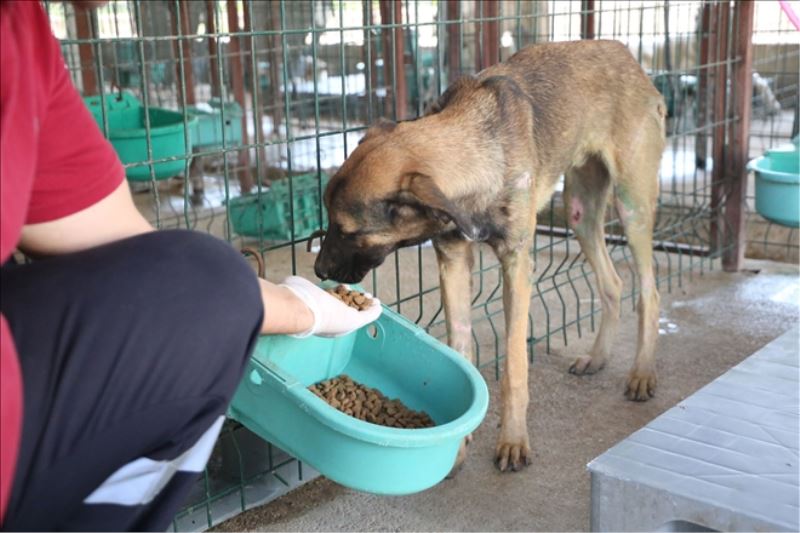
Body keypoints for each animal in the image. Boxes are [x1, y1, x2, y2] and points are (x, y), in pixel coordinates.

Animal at [316, 42, 664, 474]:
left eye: (348, 231)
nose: (318, 270)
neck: (477, 153)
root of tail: (623, 53)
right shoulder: (452, 261)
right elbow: (460, 346)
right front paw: (458, 446)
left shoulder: (517, 264)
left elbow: (514, 365)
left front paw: (513, 441)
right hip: (579, 211)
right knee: (613, 282)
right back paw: (598, 357)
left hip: (632, 206)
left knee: (648, 291)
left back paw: (642, 373)